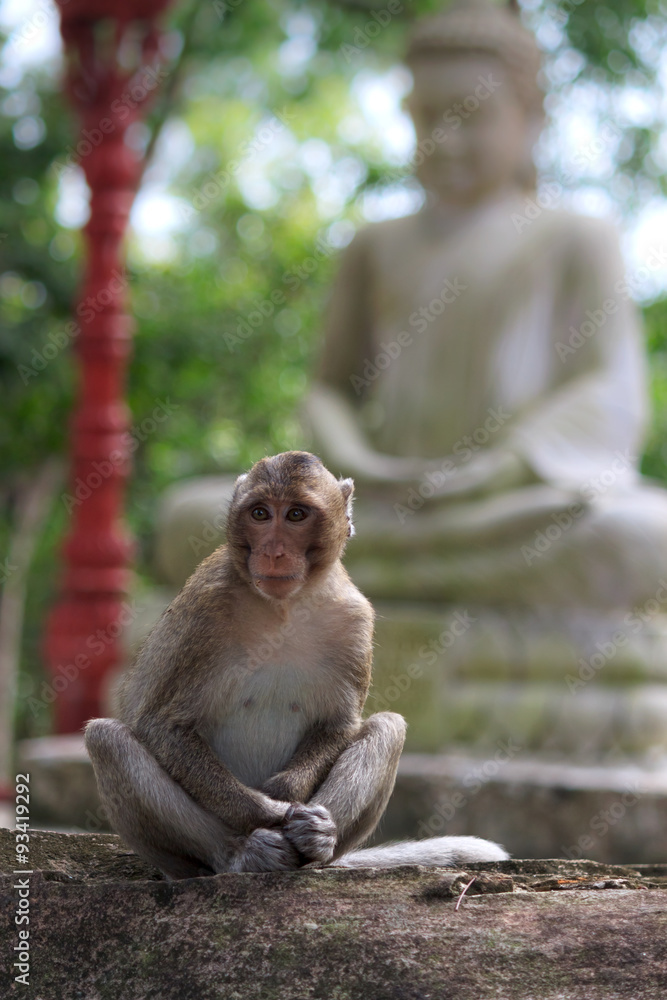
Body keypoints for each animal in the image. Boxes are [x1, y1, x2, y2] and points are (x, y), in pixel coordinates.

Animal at [85, 451, 508, 878]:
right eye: (259, 513)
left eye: (296, 515)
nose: (273, 552)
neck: (283, 608)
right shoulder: (202, 610)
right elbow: (162, 724)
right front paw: (266, 810)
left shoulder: (354, 618)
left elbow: (337, 724)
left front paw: (288, 798)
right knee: (107, 739)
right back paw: (241, 855)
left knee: (389, 727)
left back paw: (317, 840)